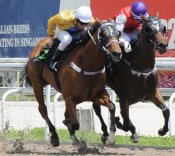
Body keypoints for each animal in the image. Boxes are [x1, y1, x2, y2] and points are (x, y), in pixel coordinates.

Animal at [93, 14, 170, 143]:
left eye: (163, 28)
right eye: (148, 29)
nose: (162, 45)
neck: (140, 66)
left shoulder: (152, 92)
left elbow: (166, 110)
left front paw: (162, 131)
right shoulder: (124, 97)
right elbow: (125, 121)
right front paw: (121, 124)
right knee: (97, 108)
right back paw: (105, 134)